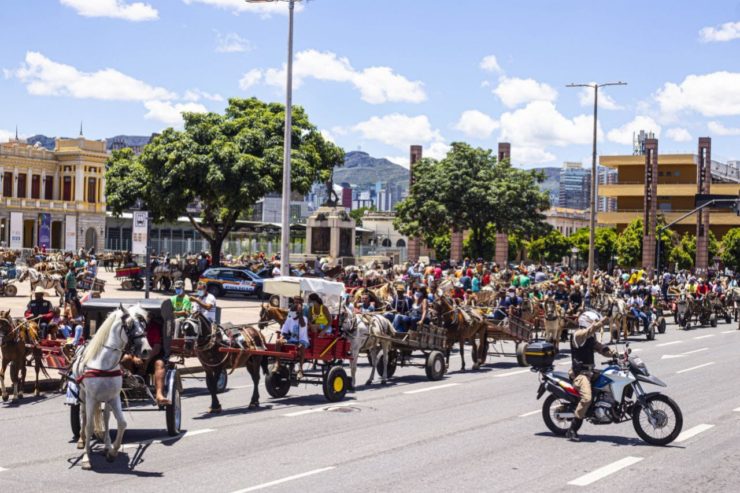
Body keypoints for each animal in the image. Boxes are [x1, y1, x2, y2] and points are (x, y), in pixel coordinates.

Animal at [71, 304, 150, 468]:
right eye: (129, 326)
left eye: (144, 324)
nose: (147, 350)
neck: (104, 363)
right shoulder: (91, 397)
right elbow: (89, 425)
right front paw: (86, 457)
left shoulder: (114, 397)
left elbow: (122, 423)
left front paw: (112, 452)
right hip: (82, 393)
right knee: (83, 414)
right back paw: (82, 440)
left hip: (105, 399)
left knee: (106, 417)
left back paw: (107, 445)